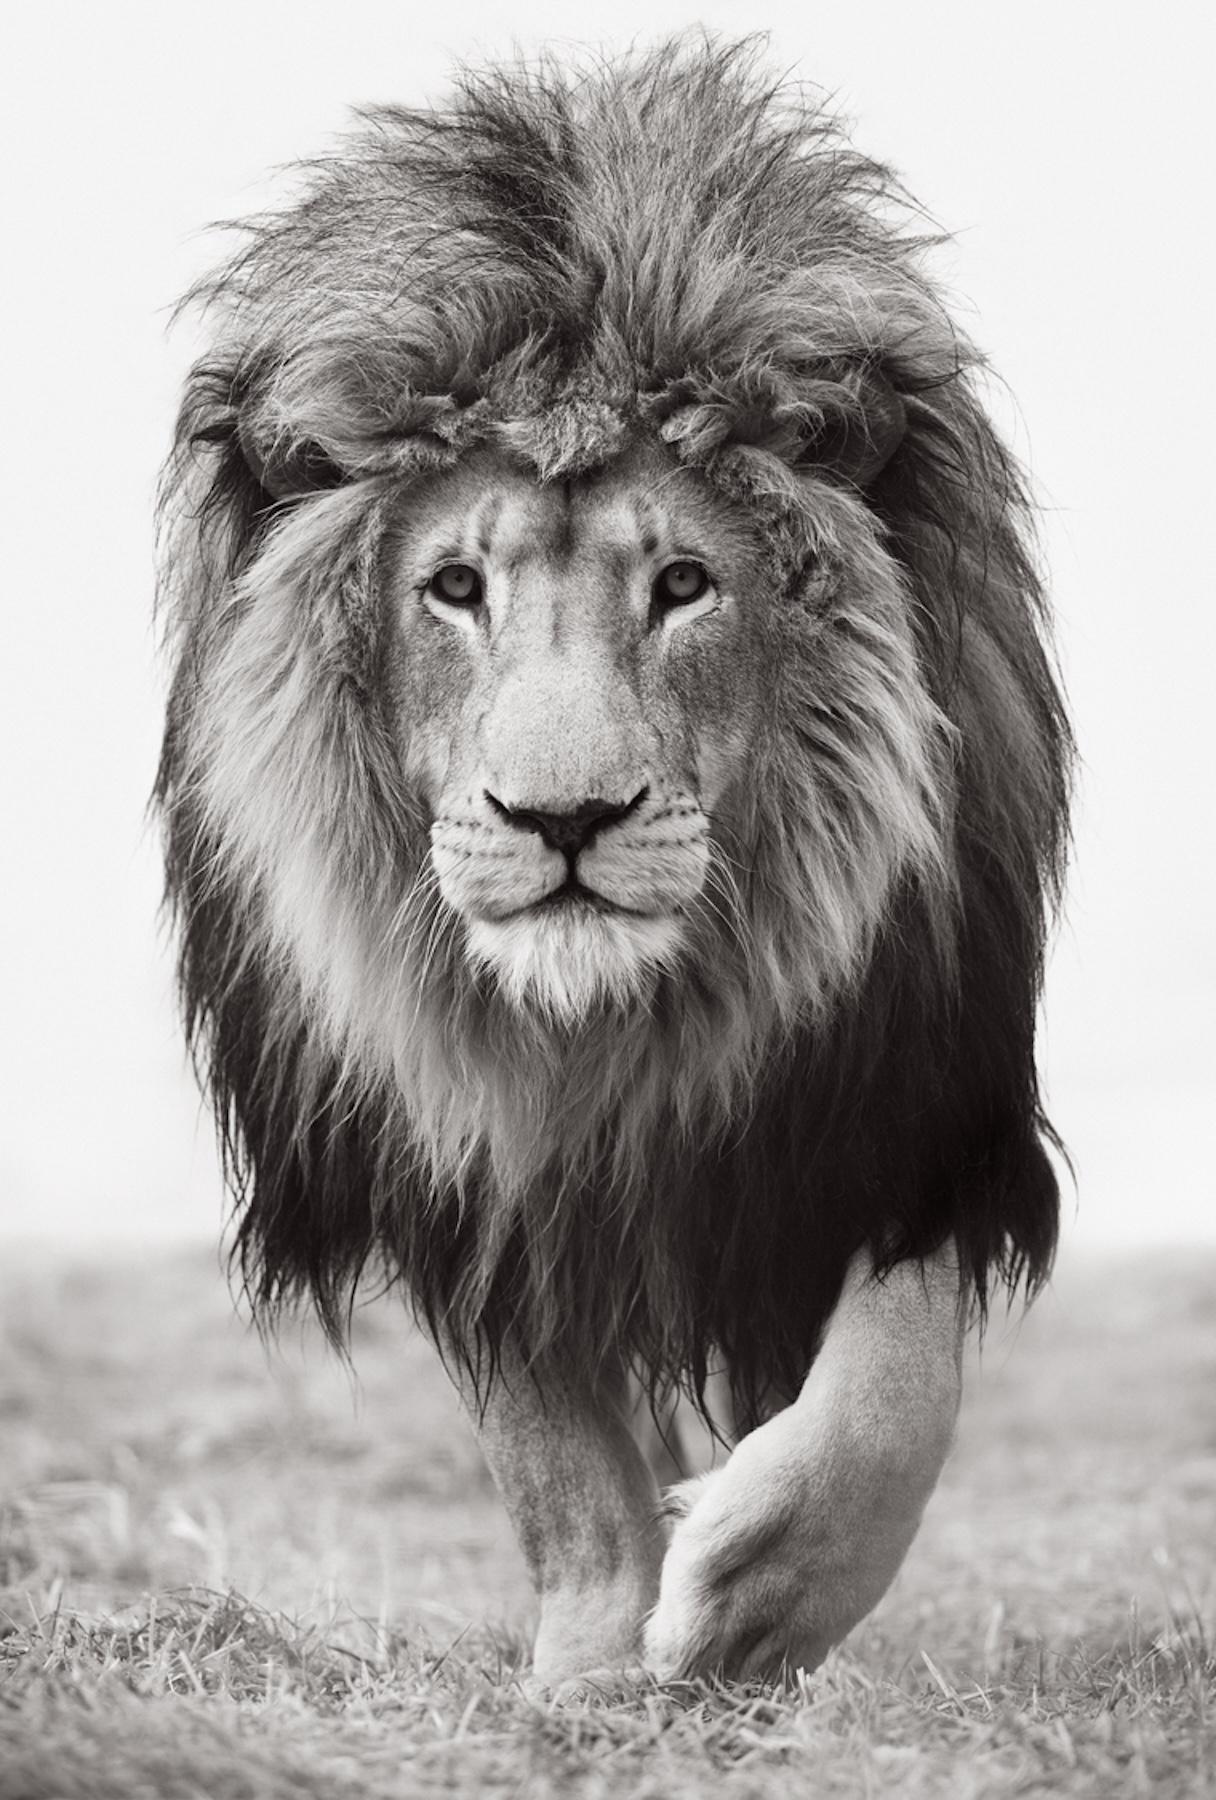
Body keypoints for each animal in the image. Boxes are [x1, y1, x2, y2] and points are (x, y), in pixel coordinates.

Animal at [157, 40, 1071, 1687]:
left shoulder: (915, 1086)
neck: (619, 1026)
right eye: (455, 587)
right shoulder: (459, 1155)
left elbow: (891, 1384)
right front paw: (592, 1669)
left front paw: (757, 1600)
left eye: (685, 584)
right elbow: (554, 1455)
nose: (563, 821)